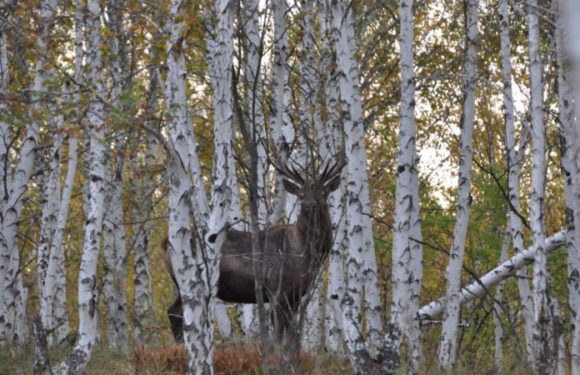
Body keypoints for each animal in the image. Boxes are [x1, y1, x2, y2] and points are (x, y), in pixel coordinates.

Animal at [161, 152, 346, 344]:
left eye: (322, 193)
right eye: (301, 195)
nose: (310, 205)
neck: (304, 255)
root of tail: (165, 242)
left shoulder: (296, 294)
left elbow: (290, 332)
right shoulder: (276, 289)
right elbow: (278, 331)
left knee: (174, 311)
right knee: (178, 312)